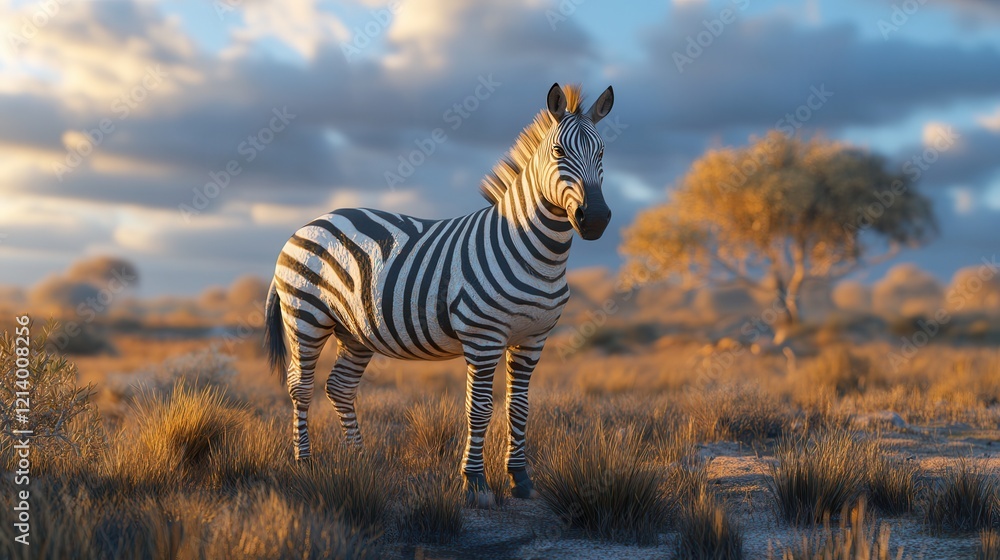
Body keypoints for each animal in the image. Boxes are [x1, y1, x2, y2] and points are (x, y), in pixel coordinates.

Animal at [263, 83, 614, 506]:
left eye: (602, 153)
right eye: (559, 152)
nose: (595, 219)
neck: (535, 251)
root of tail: (309, 223)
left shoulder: (532, 339)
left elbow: (519, 408)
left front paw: (520, 479)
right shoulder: (483, 338)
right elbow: (479, 408)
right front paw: (475, 482)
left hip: (355, 331)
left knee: (340, 388)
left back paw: (360, 460)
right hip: (306, 316)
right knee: (300, 386)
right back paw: (305, 462)